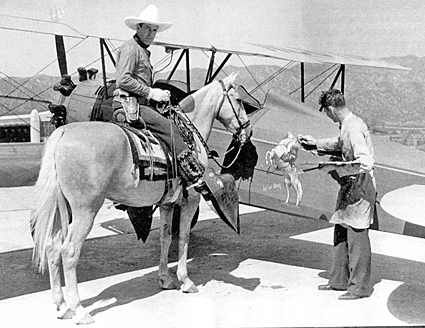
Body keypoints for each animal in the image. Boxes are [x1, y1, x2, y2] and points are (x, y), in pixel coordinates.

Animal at [30, 73, 252, 324]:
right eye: (238, 100)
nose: (248, 132)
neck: (189, 134)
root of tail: (64, 133)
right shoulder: (191, 200)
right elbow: (183, 237)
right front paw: (185, 281)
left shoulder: (168, 203)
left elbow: (166, 238)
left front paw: (165, 279)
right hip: (85, 210)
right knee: (68, 252)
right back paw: (79, 309)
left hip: (64, 208)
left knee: (51, 247)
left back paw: (61, 305)